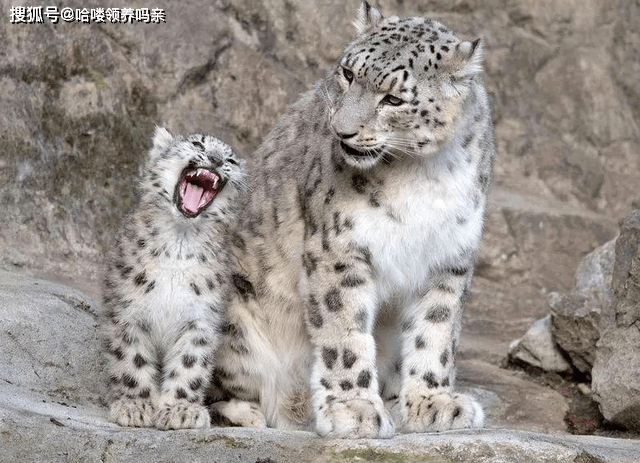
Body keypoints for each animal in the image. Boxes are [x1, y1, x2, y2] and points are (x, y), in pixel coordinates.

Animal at [104, 127, 246, 432]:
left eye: (231, 160)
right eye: (198, 144)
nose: (216, 159)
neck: (180, 242)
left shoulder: (201, 318)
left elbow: (189, 364)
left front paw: (180, 410)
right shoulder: (128, 309)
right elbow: (132, 358)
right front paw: (135, 406)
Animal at [210, 2, 496, 438]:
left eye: (393, 98)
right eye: (347, 73)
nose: (342, 131)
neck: (423, 172)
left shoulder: (449, 257)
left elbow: (436, 331)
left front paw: (434, 402)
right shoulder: (339, 248)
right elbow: (344, 332)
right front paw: (355, 410)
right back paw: (249, 414)